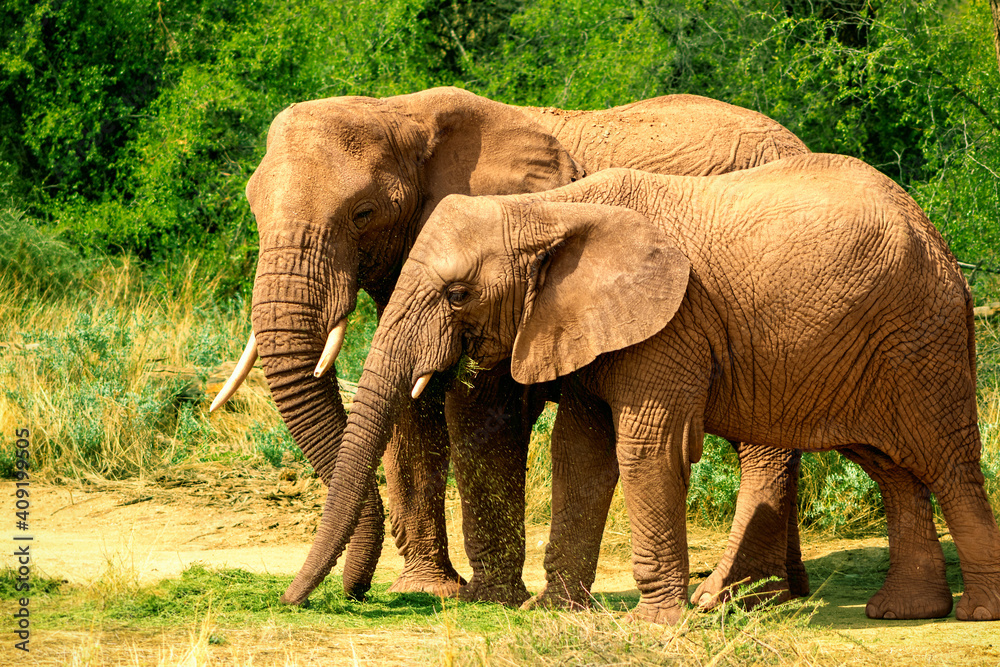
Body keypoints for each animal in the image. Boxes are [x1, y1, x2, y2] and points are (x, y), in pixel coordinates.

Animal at [215, 87, 808, 604]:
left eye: (362, 213)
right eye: (253, 210)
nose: (352, 593)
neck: (398, 111)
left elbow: (481, 409)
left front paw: (488, 598)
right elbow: (411, 411)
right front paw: (428, 592)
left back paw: (736, 596)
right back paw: (790, 589)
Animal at [280, 153, 1000, 628]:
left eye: (457, 295)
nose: (301, 600)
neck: (548, 210)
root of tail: (936, 232)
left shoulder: (671, 324)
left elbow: (647, 449)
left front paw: (655, 626)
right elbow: (580, 453)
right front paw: (553, 611)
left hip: (923, 332)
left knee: (946, 462)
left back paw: (973, 613)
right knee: (891, 469)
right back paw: (903, 611)